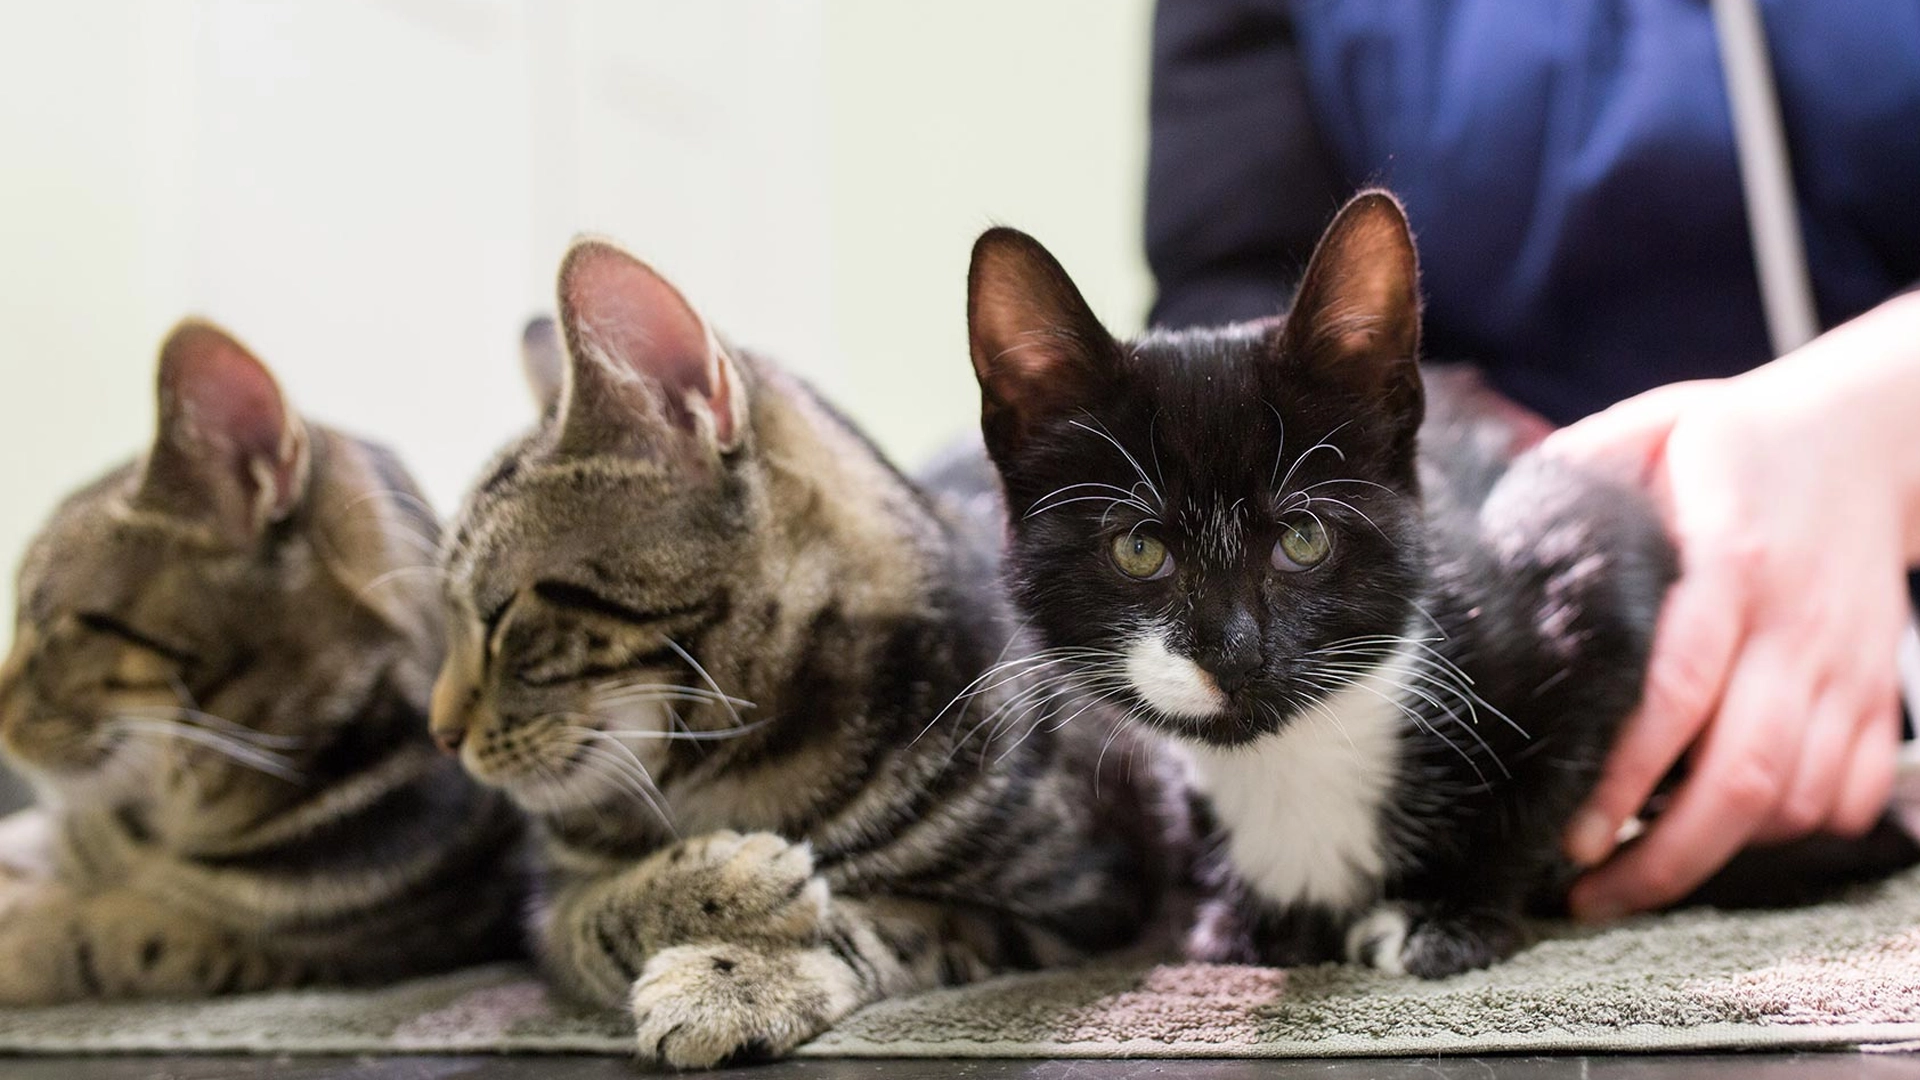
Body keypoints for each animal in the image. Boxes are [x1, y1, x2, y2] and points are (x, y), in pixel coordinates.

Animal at [433, 242, 1167, 1060]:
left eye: (500, 615)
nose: (441, 734)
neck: (736, 764)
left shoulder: (1079, 896)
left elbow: (892, 923)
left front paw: (737, 976)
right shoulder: (544, 905)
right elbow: (593, 918)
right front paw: (725, 882)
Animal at [967, 191, 1674, 976]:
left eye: (1304, 540)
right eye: (1140, 549)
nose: (1235, 652)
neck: (1292, 758)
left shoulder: (1587, 548)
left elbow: (1545, 791)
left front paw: (1447, 915)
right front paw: (1247, 923)